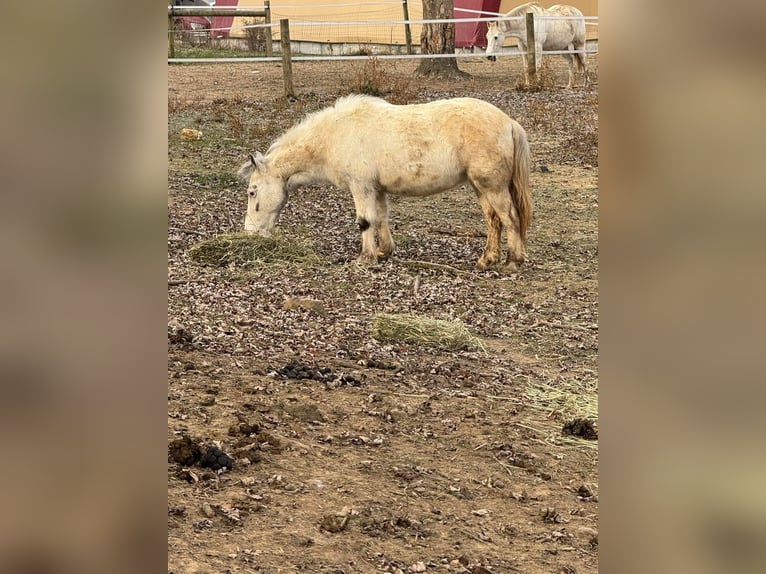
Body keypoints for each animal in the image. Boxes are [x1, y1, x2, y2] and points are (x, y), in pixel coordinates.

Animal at [240, 95, 536, 274]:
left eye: (252, 192)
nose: (250, 233)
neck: (335, 134)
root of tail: (509, 123)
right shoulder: (377, 189)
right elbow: (381, 218)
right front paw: (384, 251)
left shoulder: (361, 187)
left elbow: (365, 221)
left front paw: (365, 258)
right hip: (481, 187)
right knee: (493, 220)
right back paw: (487, 259)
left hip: (492, 187)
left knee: (510, 218)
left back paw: (513, 261)